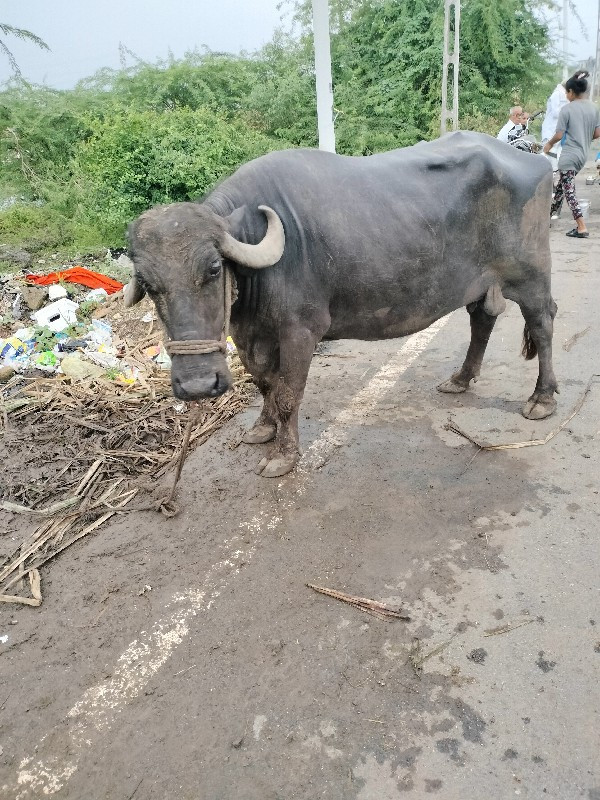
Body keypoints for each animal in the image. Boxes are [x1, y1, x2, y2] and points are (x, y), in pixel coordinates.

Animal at [125, 133, 556, 476]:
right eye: (147, 283)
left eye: (214, 269)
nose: (197, 385)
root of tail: (535, 159)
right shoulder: (247, 332)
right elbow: (264, 382)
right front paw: (263, 428)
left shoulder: (301, 331)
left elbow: (288, 393)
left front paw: (283, 455)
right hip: (480, 284)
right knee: (481, 320)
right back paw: (461, 379)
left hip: (531, 275)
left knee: (542, 324)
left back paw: (542, 398)